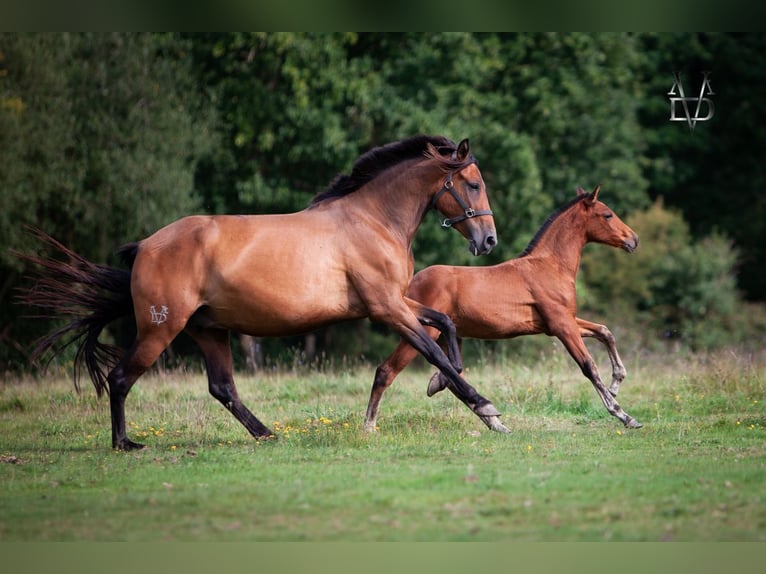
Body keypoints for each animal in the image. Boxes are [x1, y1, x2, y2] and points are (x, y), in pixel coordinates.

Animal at [21, 134, 508, 450]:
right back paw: (125, 443)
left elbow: (445, 326)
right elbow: (434, 348)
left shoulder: (395, 302)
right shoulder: (386, 307)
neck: (372, 219)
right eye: (473, 183)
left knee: (222, 388)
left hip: (207, 329)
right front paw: (487, 411)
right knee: (122, 378)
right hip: (161, 329)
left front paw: (444, 384)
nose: (488, 241)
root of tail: (144, 246)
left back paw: (266, 434)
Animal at [368, 187, 644, 434]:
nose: (633, 239)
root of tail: (409, 285)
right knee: (387, 371)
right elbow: (589, 367)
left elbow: (605, 331)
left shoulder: (562, 321)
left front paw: (617, 382)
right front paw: (624, 415)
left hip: (448, 336)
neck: (549, 266)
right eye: (607, 214)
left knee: (453, 375)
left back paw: (494, 421)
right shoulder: (561, 325)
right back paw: (369, 426)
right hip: (420, 330)